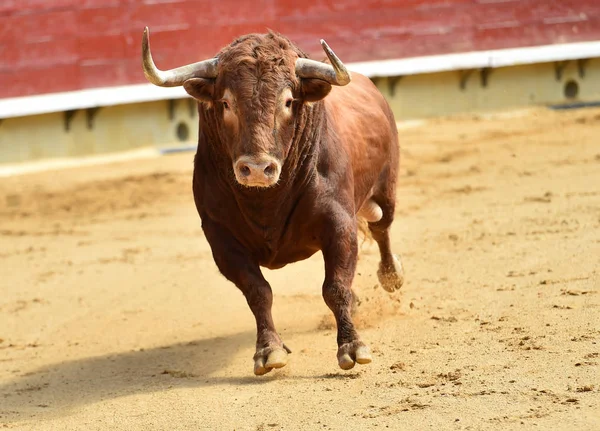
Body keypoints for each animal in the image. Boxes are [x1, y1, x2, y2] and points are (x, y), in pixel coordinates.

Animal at [141, 28, 404, 376]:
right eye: (225, 102)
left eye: (289, 101)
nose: (256, 168)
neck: (266, 202)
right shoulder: (221, 240)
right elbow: (258, 292)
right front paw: (269, 351)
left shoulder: (339, 224)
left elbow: (335, 286)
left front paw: (352, 346)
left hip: (386, 190)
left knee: (381, 227)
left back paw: (391, 276)